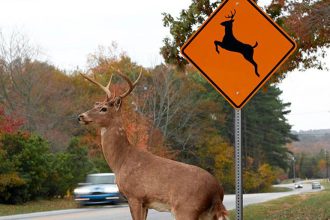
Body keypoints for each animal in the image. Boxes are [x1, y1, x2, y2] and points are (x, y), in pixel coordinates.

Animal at [78, 70, 227, 220]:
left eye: (103, 109)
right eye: (94, 106)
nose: (81, 116)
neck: (121, 161)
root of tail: (217, 192)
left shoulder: (135, 195)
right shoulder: (145, 203)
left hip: (186, 209)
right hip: (207, 214)